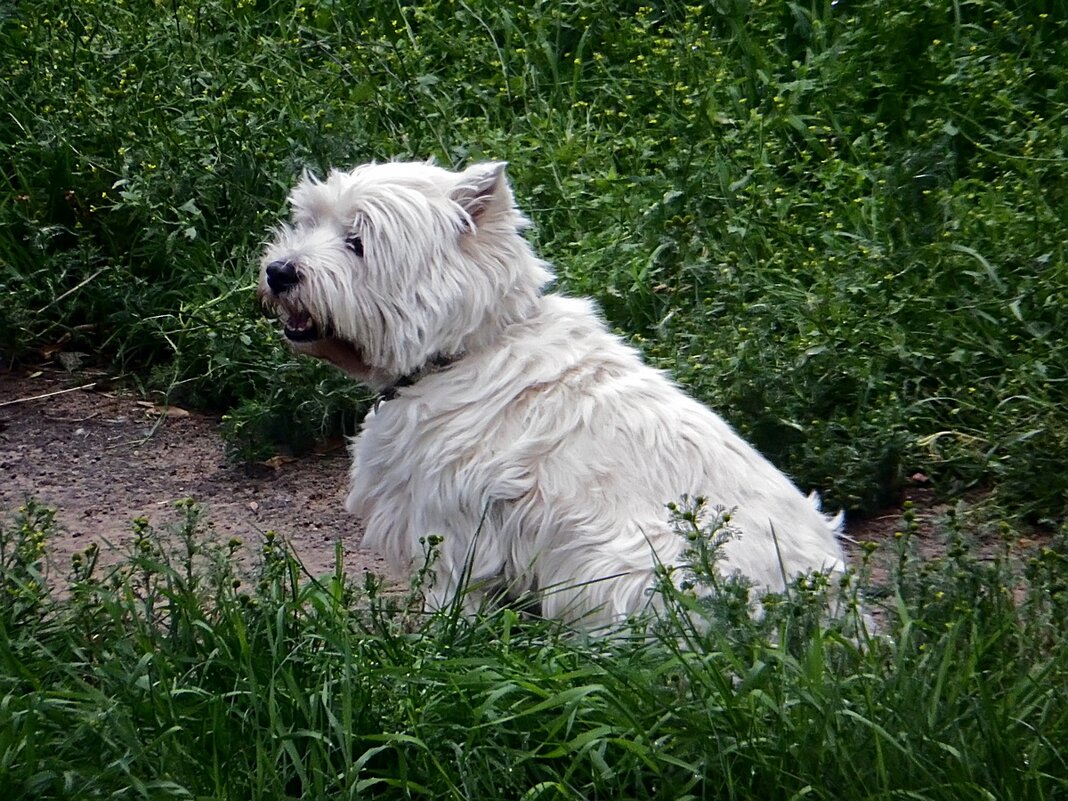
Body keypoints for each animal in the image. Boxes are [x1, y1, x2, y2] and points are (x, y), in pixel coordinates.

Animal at [258, 160, 850, 632]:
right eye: (307, 221)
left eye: (357, 242)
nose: (278, 271)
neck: (465, 351)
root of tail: (818, 614)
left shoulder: (450, 527)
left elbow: (450, 600)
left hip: (627, 569)